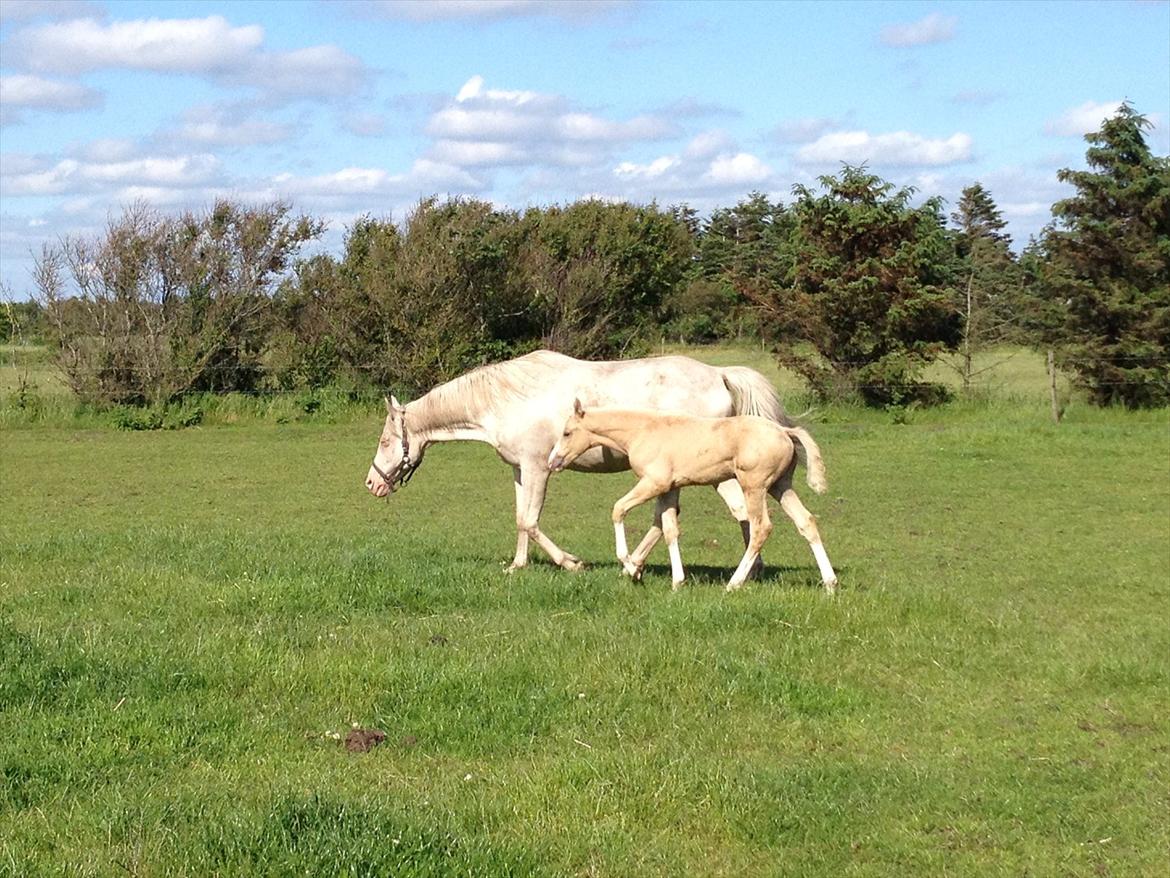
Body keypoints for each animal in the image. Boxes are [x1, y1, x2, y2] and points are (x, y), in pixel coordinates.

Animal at [367, 351, 795, 578]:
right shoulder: (520, 470)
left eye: (386, 441)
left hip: (714, 474)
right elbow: (520, 520)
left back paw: (747, 571)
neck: (506, 399)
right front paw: (518, 565)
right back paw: (635, 565)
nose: (372, 484)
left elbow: (531, 521)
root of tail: (720, 374)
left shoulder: (539, 468)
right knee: (666, 521)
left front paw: (571, 562)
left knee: (742, 513)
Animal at [545, 402, 833, 594]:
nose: (552, 462)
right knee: (806, 522)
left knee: (761, 528)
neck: (642, 431)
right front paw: (676, 581)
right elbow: (670, 529)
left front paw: (631, 567)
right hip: (781, 486)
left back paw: (734, 583)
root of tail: (785, 431)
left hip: (755, 486)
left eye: (567, 432)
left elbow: (618, 510)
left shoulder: (653, 483)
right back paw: (830, 584)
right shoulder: (669, 488)